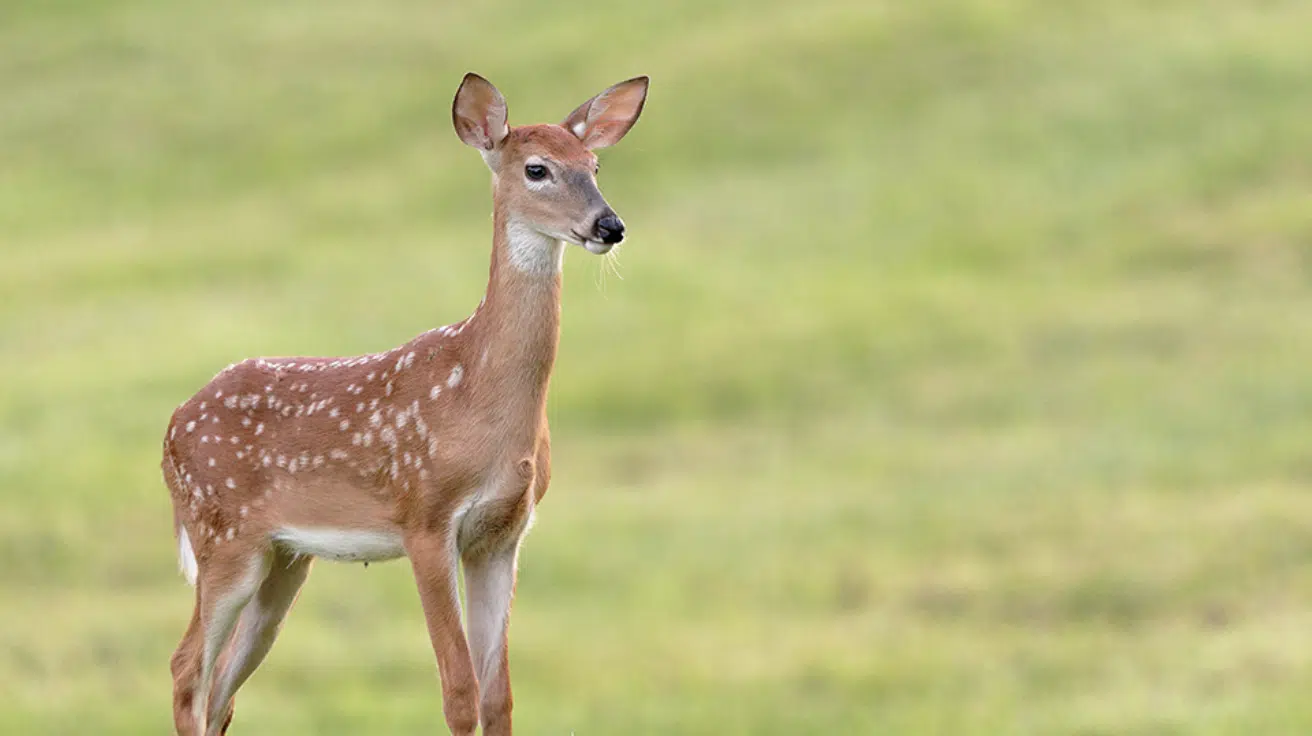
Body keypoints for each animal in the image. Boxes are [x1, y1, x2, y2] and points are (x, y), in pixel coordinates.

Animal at [161, 72, 649, 736]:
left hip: (283, 558)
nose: (609, 225)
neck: (479, 393)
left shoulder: (504, 534)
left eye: (595, 165)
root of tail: (171, 429)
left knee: (223, 690)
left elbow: (499, 696)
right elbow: (459, 690)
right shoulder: (425, 516)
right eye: (538, 169)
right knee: (186, 668)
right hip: (223, 535)